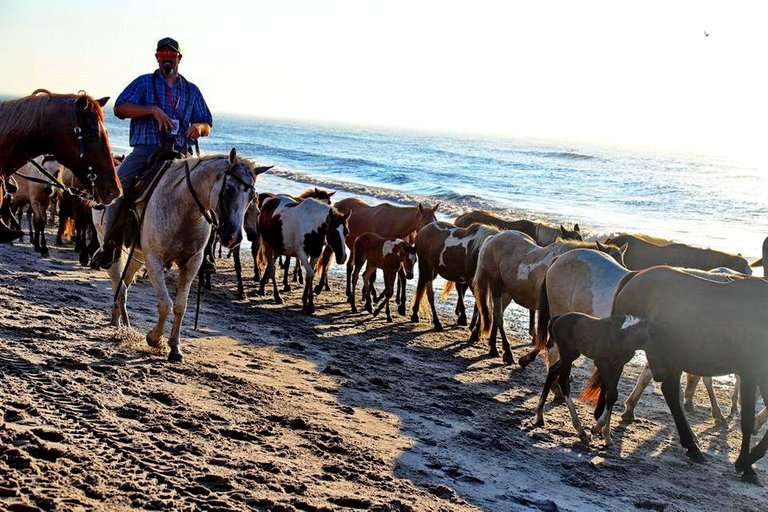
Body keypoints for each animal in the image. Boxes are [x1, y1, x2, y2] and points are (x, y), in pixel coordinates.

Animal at [96, 148, 272, 362]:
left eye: (252, 196)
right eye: (229, 188)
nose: (233, 237)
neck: (183, 207)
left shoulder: (192, 263)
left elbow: (181, 306)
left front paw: (174, 347)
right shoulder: (154, 259)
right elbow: (165, 304)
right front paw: (154, 339)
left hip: (136, 255)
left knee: (124, 285)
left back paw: (121, 321)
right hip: (111, 248)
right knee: (118, 283)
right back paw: (117, 321)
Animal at [612, 266, 768, 482]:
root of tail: (636, 275)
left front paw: (749, 461)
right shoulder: (750, 373)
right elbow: (748, 420)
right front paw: (745, 464)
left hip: (673, 358)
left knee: (670, 392)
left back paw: (692, 445)